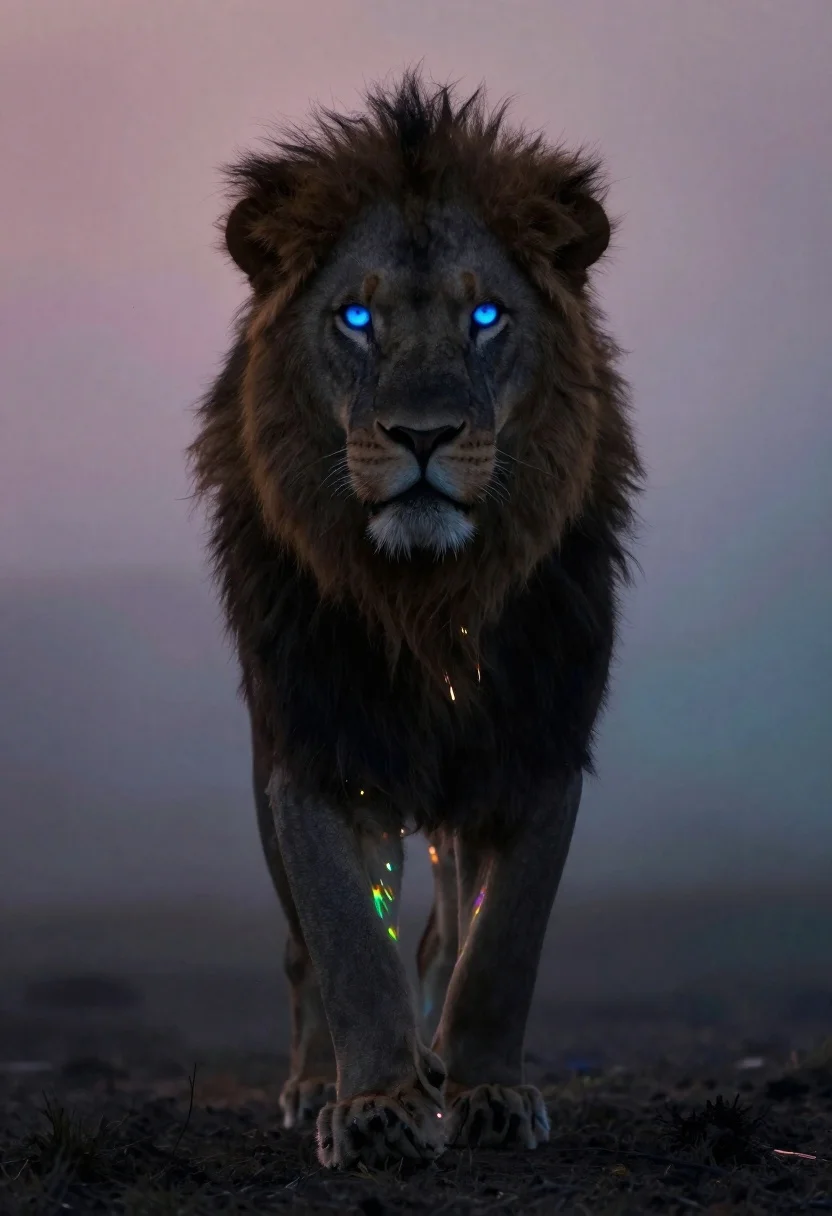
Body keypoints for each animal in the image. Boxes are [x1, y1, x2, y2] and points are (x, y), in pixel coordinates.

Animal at [189, 70, 642, 1169]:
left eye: (486, 314)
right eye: (357, 316)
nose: (423, 435)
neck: (431, 597)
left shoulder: (535, 745)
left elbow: (499, 950)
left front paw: (484, 1089)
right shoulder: (319, 750)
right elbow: (351, 947)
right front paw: (375, 1104)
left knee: (440, 936)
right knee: (306, 951)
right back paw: (321, 1083)